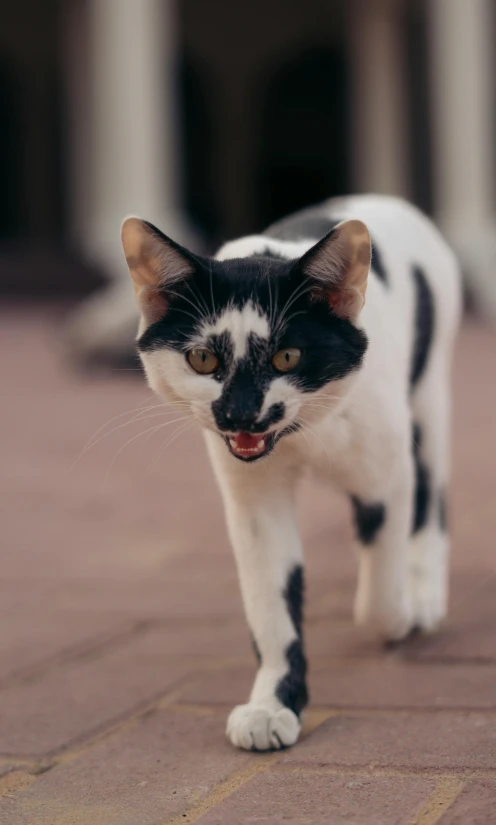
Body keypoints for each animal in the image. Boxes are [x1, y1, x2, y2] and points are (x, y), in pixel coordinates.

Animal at [120, 196, 462, 748]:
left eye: (287, 356)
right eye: (202, 359)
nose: (240, 414)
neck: (299, 437)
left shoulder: (388, 472)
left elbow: (378, 598)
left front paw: (403, 613)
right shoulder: (254, 504)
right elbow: (272, 605)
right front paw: (272, 705)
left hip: (429, 398)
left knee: (433, 497)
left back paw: (425, 591)